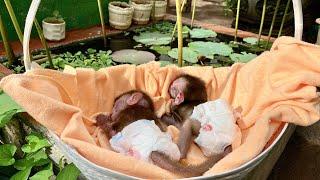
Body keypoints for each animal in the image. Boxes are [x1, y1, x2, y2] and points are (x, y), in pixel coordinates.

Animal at [95, 90, 230, 177]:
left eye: (115, 105)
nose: (111, 113)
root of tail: (154, 149)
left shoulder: (127, 114)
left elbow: (113, 130)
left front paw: (102, 119)